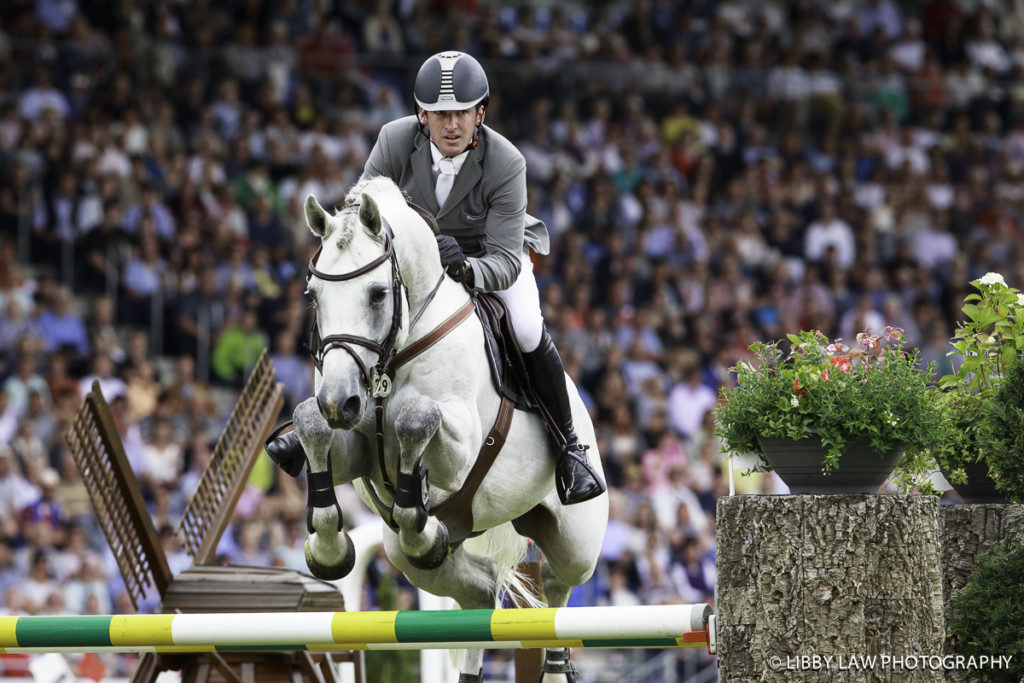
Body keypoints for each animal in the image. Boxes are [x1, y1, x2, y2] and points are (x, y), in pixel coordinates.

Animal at [288, 178, 606, 683]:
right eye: (314, 296)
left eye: (378, 294)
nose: (340, 402)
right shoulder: (352, 444)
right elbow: (310, 423)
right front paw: (328, 548)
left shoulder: (460, 449)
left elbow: (415, 416)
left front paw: (411, 481)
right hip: (412, 555)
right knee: (473, 587)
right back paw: (428, 538)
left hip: (577, 543)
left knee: (557, 588)